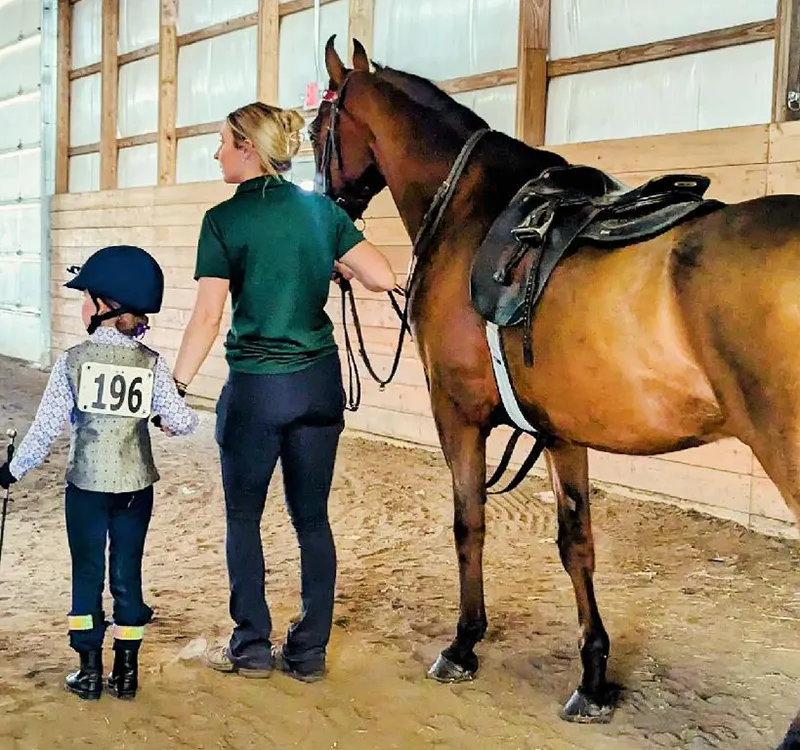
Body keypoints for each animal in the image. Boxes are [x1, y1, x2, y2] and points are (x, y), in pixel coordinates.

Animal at [309, 36, 800, 749]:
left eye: (316, 128)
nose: (327, 214)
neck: (474, 215)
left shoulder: (456, 415)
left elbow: (469, 523)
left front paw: (463, 644)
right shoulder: (563, 432)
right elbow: (578, 544)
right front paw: (593, 677)